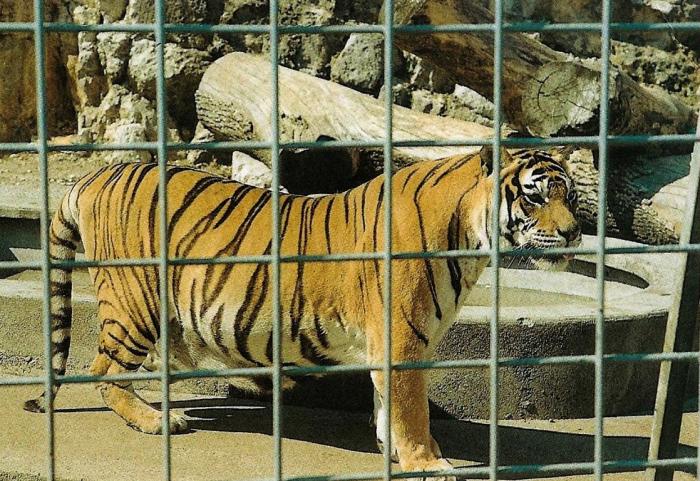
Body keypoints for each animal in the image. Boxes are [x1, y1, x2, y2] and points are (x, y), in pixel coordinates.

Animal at [24, 145, 580, 480]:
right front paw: (427, 460)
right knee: (103, 369)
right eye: (533, 196)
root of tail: (97, 173)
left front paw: (392, 448)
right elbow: (411, 409)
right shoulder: (402, 340)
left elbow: (387, 404)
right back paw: (159, 420)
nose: (574, 232)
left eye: (571, 196)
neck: (470, 240)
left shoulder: (389, 343)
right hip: (136, 303)